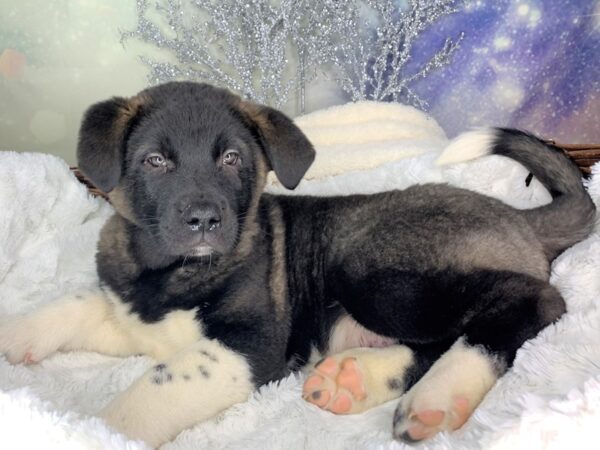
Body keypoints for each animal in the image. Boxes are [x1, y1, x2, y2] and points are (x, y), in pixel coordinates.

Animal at [0, 81, 596, 446]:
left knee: (531, 301)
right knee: (437, 341)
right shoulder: (132, 317)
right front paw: (14, 335)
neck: (167, 272)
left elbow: (153, 388)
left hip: (374, 269)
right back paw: (356, 379)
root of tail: (517, 216)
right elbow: (71, 305)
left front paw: (96, 431)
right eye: (155, 161)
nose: (203, 220)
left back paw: (440, 394)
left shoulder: (248, 346)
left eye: (232, 158)